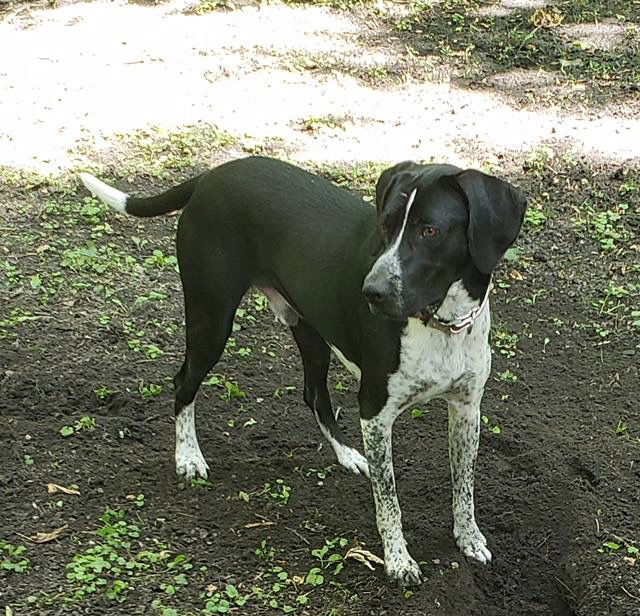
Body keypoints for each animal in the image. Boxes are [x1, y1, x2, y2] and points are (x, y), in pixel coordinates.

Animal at [80, 156, 524, 584]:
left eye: (430, 230)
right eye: (386, 225)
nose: (371, 293)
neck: (441, 324)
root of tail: (213, 174)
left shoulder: (466, 409)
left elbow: (463, 486)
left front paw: (468, 538)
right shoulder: (376, 412)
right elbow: (389, 499)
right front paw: (398, 560)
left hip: (308, 328)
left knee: (314, 393)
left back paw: (347, 454)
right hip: (212, 318)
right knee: (183, 382)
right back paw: (188, 456)